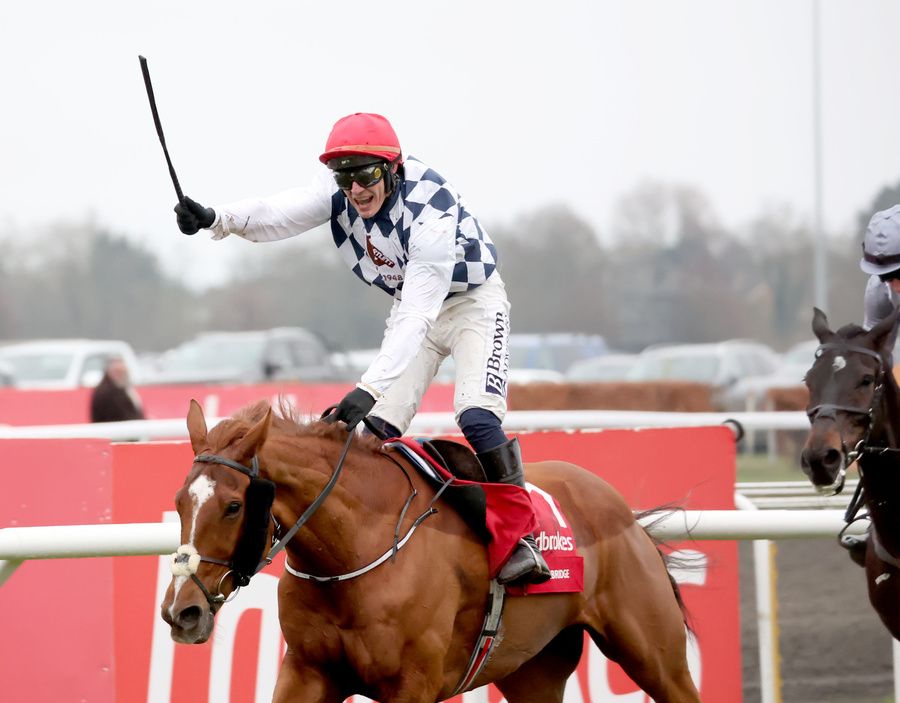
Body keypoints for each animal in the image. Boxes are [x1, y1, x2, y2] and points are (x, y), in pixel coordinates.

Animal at [162, 402, 700, 703]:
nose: (181, 612)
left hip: (655, 656)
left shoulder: (412, 684)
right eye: (180, 501)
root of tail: (626, 514)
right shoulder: (308, 671)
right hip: (534, 671)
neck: (354, 553)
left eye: (233, 506)